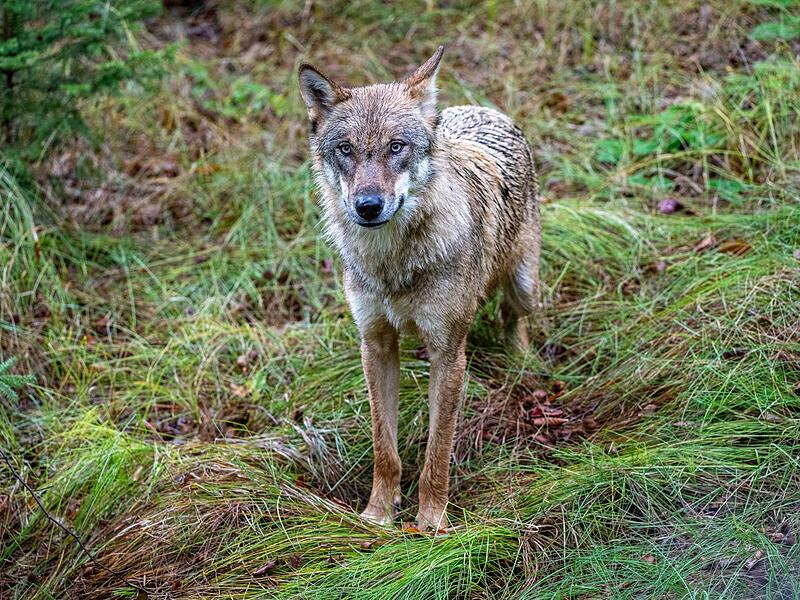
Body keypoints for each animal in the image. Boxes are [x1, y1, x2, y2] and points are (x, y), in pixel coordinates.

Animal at [298, 46, 541, 531]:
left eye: (396, 147)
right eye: (346, 150)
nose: (368, 206)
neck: (393, 263)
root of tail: (483, 109)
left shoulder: (448, 355)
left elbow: (437, 450)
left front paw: (430, 524)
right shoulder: (375, 345)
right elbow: (384, 448)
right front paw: (378, 514)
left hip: (523, 284)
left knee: (513, 316)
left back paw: (521, 361)